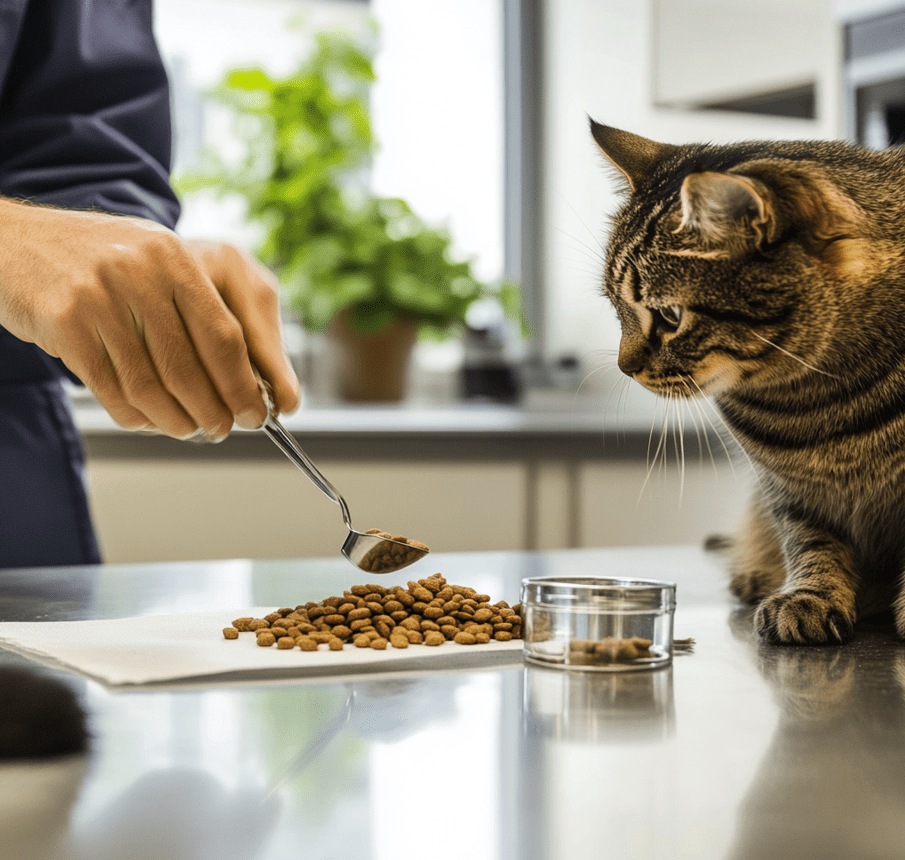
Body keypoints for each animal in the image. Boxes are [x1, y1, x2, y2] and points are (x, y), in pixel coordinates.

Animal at [588, 121, 905, 644]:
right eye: (614, 305)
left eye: (669, 315)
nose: (622, 366)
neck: (815, 403)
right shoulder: (788, 491)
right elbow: (810, 542)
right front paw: (811, 595)